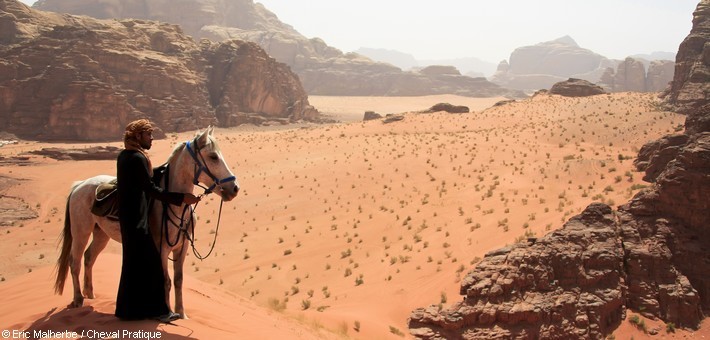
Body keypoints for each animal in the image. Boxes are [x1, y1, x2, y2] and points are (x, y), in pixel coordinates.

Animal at [52, 126, 241, 318]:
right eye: (213, 156)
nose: (234, 188)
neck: (173, 203)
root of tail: (79, 185)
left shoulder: (182, 247)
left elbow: (178, 280)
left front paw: (182, 314)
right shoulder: (161, 248)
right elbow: (166, 281)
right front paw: (167, 313)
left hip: (101, 234)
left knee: (89, 257)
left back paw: (90, 295)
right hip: (81, 232)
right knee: (74, 261)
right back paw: (78, 299)